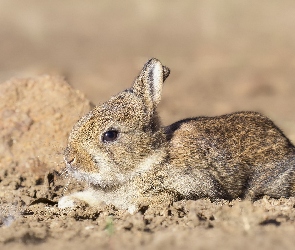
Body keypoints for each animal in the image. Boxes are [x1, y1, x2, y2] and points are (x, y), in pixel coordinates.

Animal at [57, 58, 295, 213]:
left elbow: (167, 195)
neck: (149, 160)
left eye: (110, 135)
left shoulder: (195, 186)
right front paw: (66, 201)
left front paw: (137, 207)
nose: (69, 158)